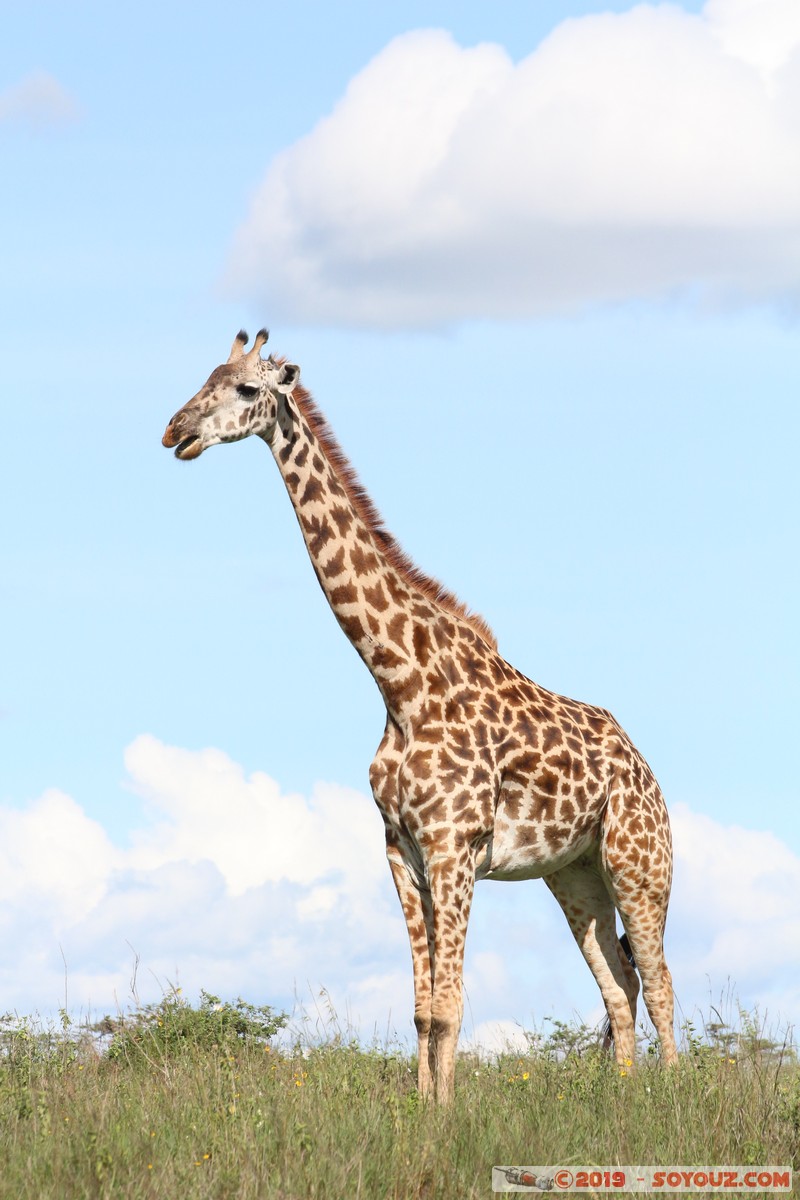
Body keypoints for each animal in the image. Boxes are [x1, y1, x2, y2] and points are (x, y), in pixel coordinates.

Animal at [162, 329, 678, 1102]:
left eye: (247, 389)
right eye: (205, 378)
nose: (176, 431)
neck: (400, 683)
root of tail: (646, 771)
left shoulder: (452, 848)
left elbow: (450, 1004)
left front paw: (447, 1115)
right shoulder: (399, 852)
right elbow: (422, 1009)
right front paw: (425, 1109)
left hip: (639, 864)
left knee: (661, 977)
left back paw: (674, 1096)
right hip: (574, 873)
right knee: (620, 983)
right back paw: (625, 1099)